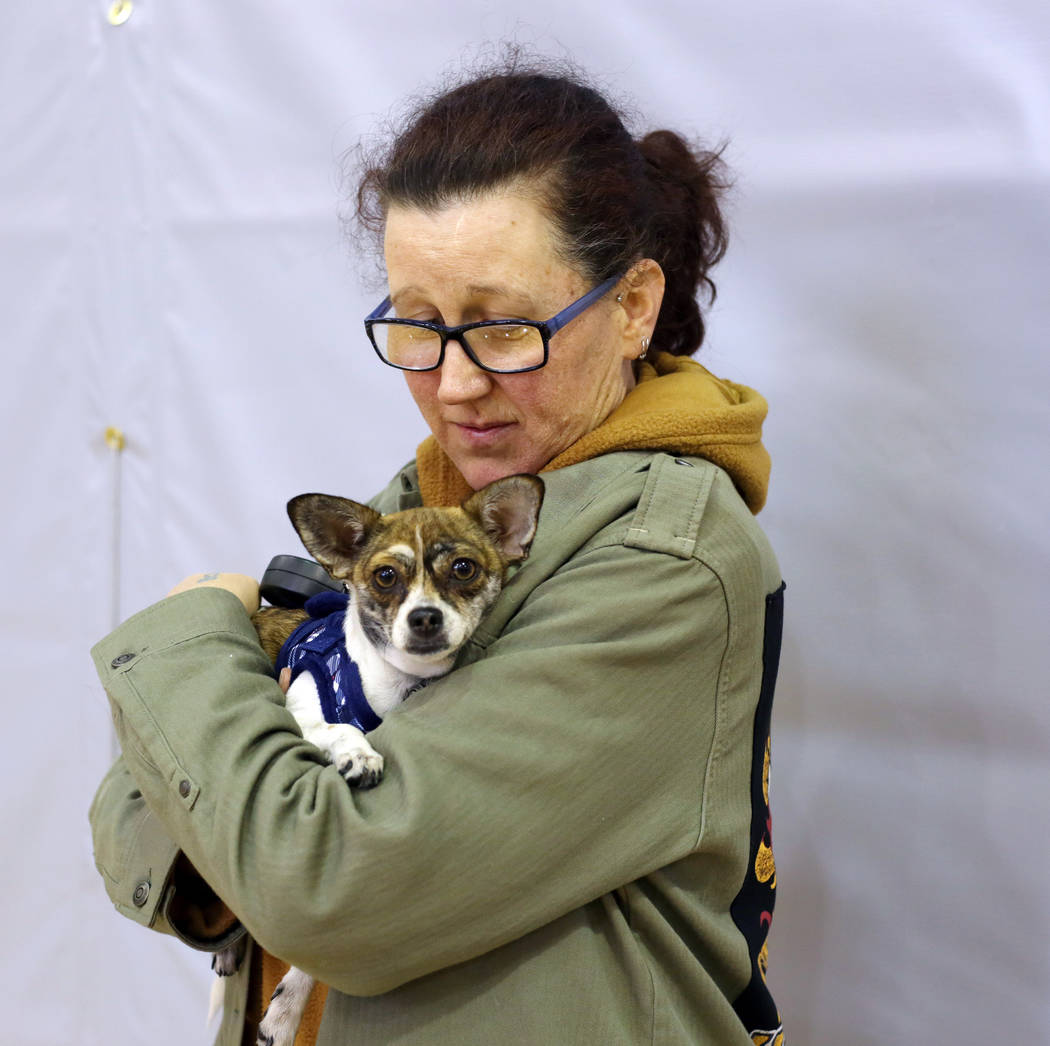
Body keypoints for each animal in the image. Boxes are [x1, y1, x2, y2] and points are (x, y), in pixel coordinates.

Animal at [209, 474, 546, 1046]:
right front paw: (358, 756)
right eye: (385, 576)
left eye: (464, 569)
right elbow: (340, 727)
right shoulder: (301, 706)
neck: (394, 683)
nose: (425, 616)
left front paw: (286, 1007)